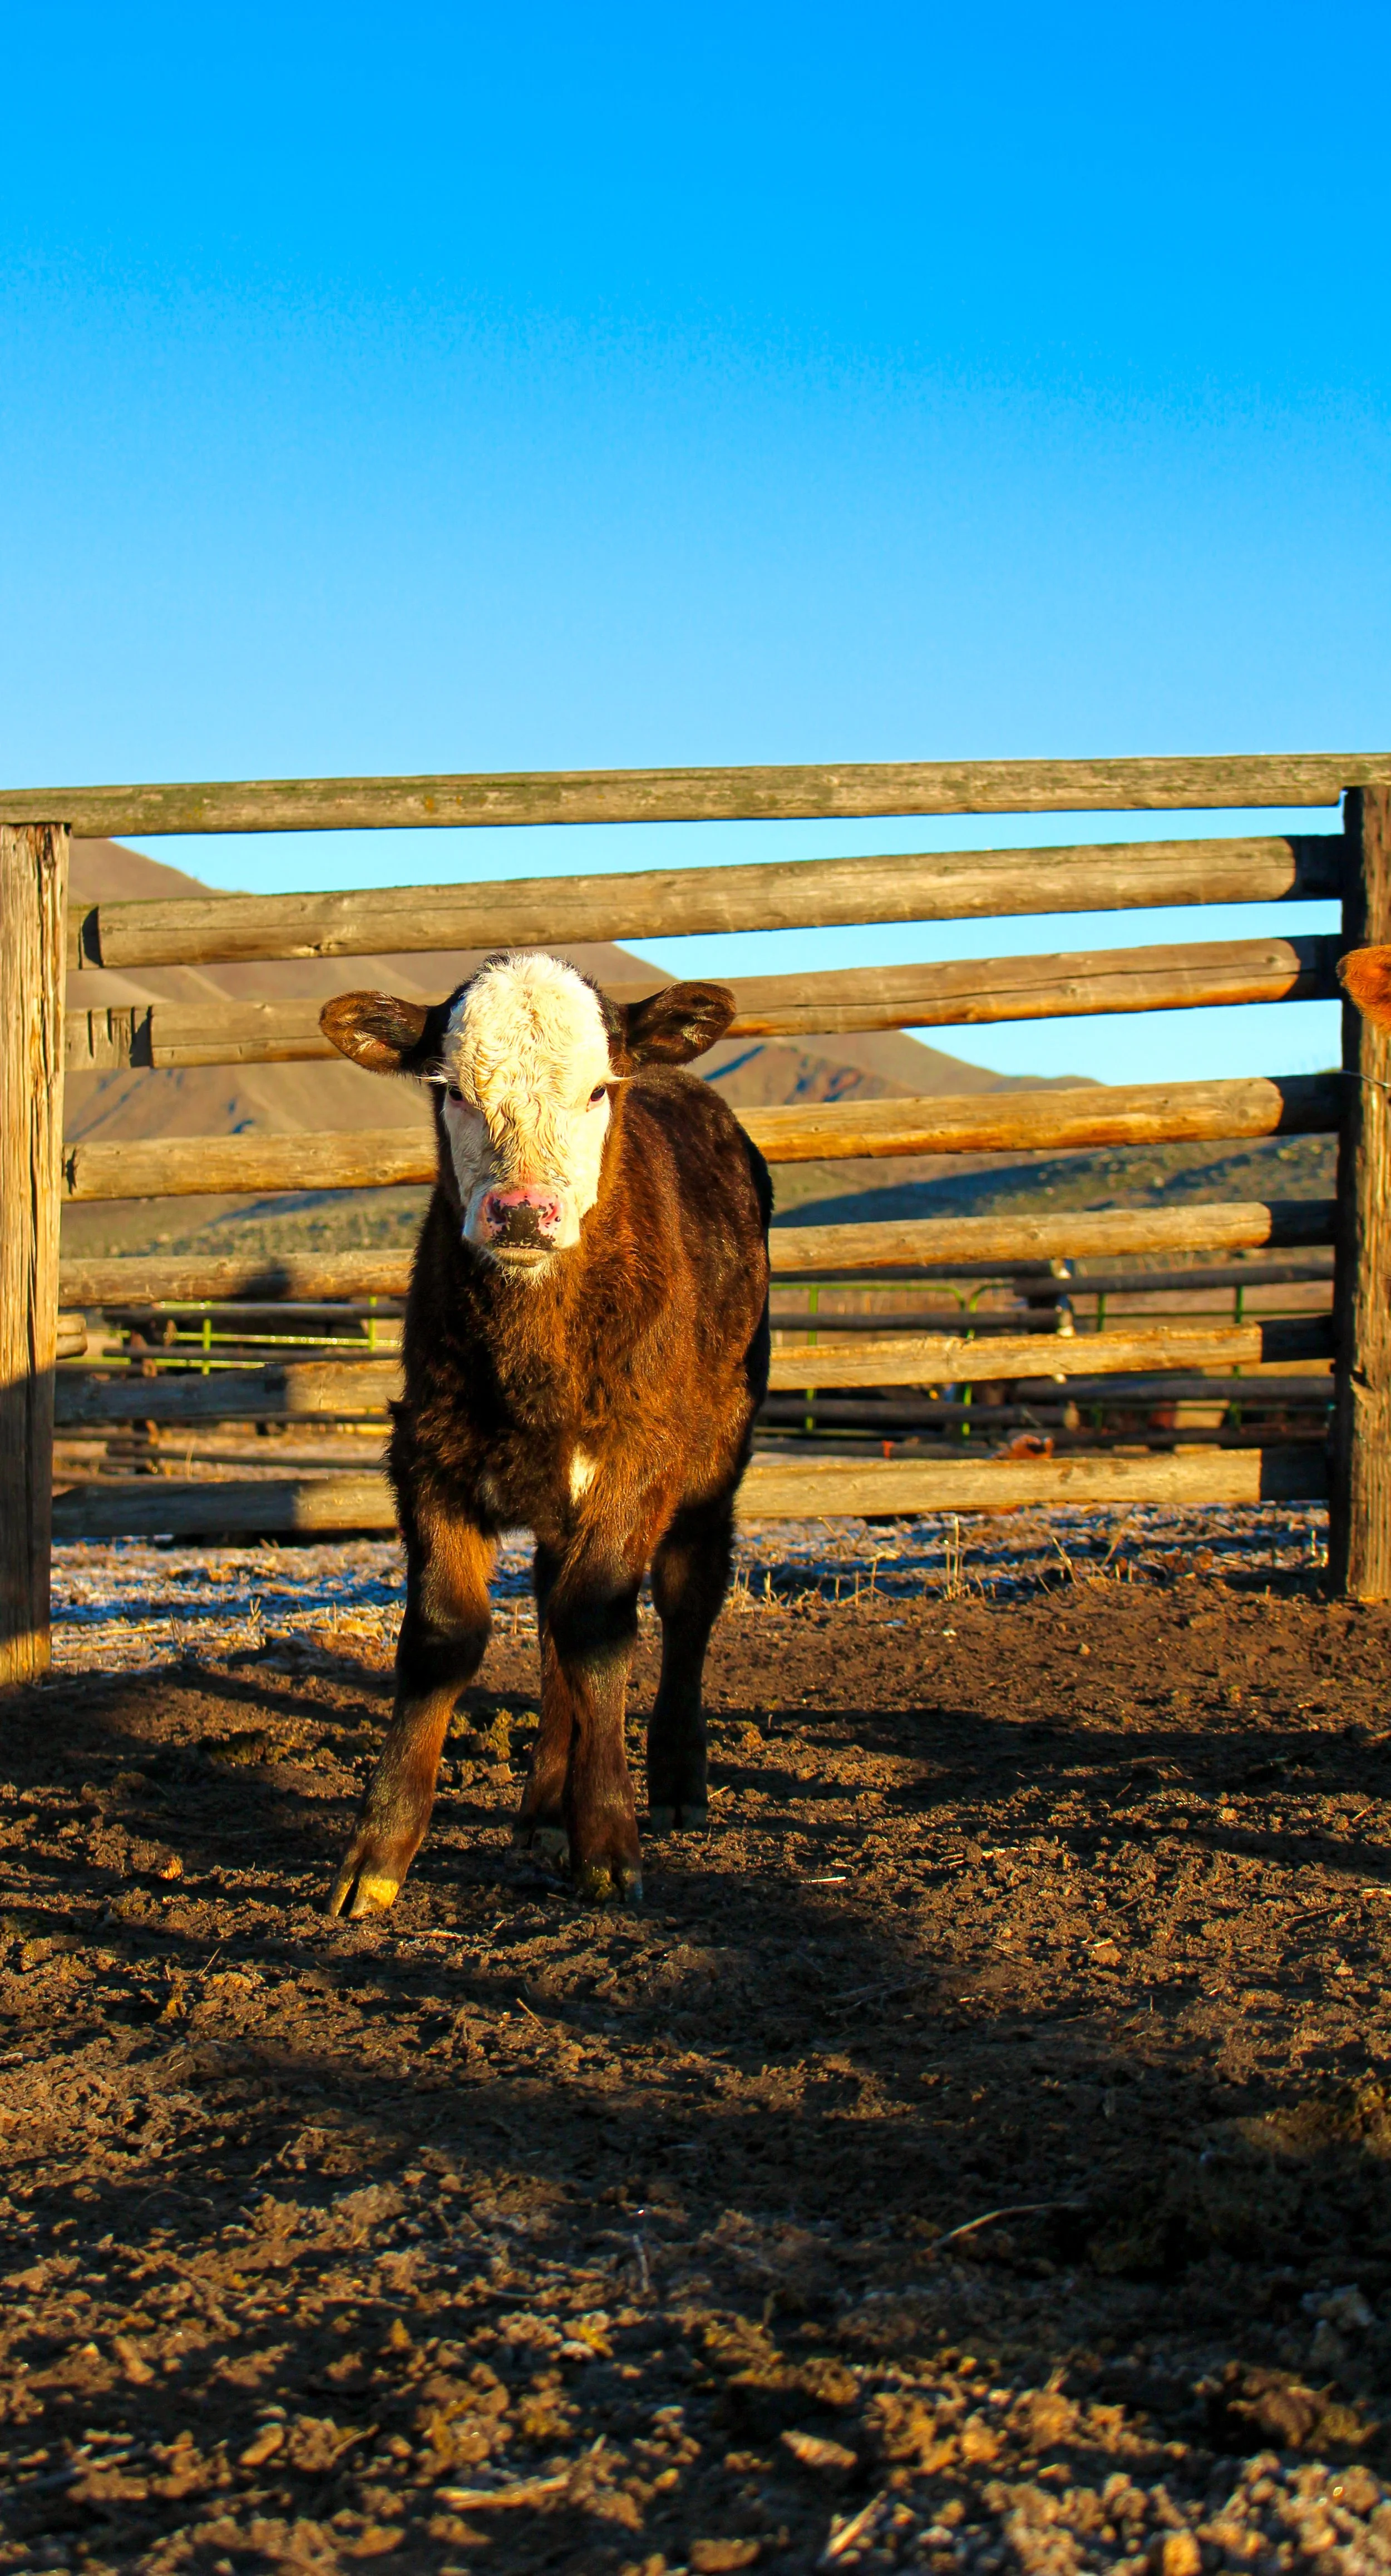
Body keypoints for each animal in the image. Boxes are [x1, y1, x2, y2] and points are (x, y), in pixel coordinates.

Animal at [318, 950, 771, 1916]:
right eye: (451, 1089)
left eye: (599, 1088)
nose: (524, 1212)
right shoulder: (430, 1452)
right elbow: (447, 1632)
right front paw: (378, 1850)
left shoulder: (639, 1455)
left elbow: (602, 1624)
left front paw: (608, 1838)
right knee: (555, 1607)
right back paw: (541, 1810)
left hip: (718, 1447)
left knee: (687, 1592)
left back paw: (676, 1781)